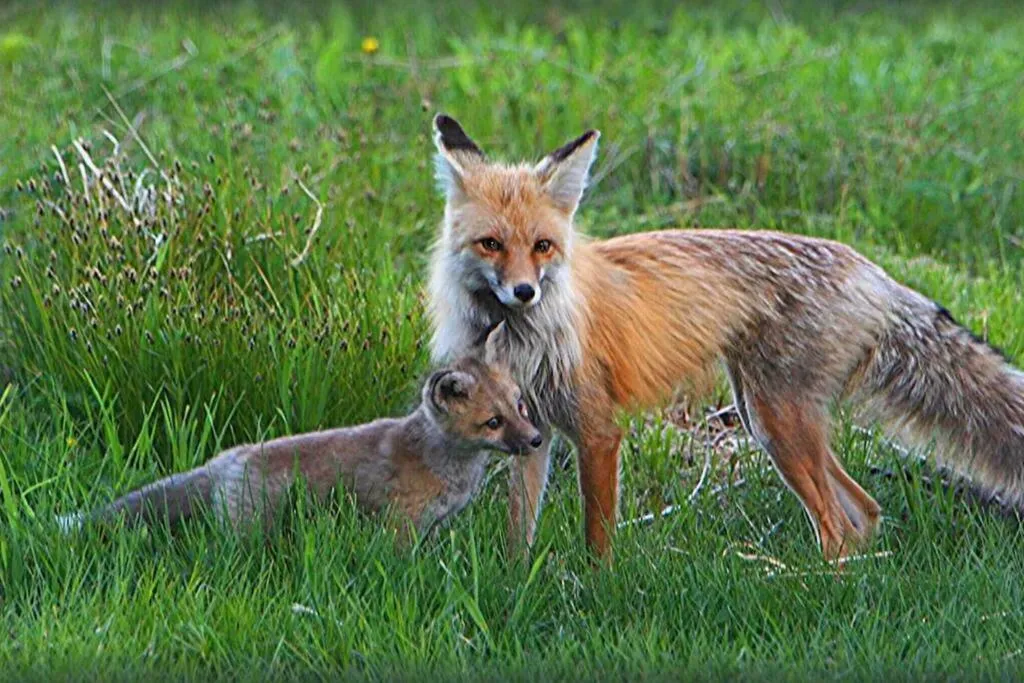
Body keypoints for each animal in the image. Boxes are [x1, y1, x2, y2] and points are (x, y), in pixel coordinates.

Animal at [57, 322, 543, 541]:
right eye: (493, 422)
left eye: (520, 406)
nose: (536, 440)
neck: (446, 467)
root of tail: (225, 459)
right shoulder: (399, 526)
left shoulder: (435, 526)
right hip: (250, 530)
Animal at [427, 114, 1024, 563]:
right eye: (491, 244)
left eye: (543, 246)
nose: (524, 292)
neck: (521, 340)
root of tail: (872, 269)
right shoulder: (534, 432)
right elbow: (518, 532)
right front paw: (517, 584)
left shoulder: (597, 431)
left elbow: (597, 540)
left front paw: (594, 591)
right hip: (770, 419)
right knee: (865, 511)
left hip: (777, 421)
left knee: (837, 527)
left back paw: (801, 583)